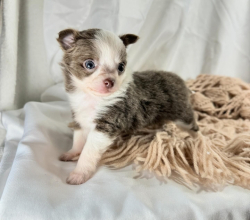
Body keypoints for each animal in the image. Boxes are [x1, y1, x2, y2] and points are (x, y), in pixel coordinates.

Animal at [57, 28, 199, 185]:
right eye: (89, 65)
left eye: (121, 67)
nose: (110, 82)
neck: (92, 97)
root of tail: (181, 82)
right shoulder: (80, 119)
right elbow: (78, 140)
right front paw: (72, 153)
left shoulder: (105, 127)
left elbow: (88, 152)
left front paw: (79, 173)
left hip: (182, 114)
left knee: (192, 121)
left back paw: (195, 137)